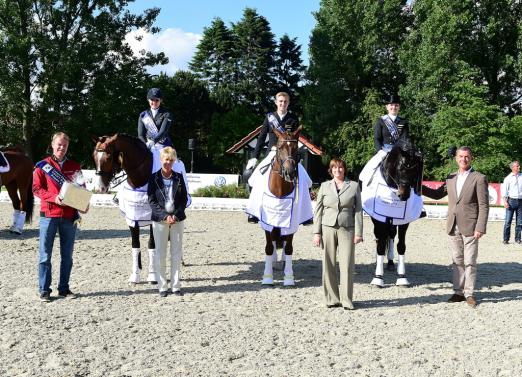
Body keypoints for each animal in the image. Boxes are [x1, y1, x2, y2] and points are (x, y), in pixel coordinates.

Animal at [364, 138, 420, 284]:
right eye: (400, 168)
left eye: (416, 171)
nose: (404, 195)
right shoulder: (379, 218)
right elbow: (380, 244)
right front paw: (378, 277)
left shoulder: (404, 221)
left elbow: (401, 245)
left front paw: (402, 277)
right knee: (380, 237)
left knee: (391, 235)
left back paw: (390, 262)